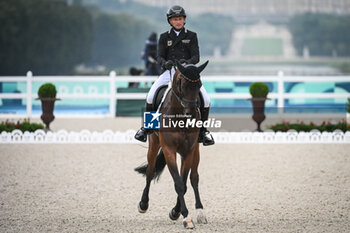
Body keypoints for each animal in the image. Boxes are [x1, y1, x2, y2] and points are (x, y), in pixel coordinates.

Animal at [135, 60, 209, 229]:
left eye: (199, 84)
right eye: (182, 84)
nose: (191, 114)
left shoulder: (188, 151)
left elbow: (184, 182)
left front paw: (177, 212)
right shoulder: (169, 150)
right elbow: (178, 183)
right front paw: (185, 217)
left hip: (196, 150)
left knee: (194, 178)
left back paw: (200, 212)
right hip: (154, 144)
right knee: (150, 171)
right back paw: (143, 204)